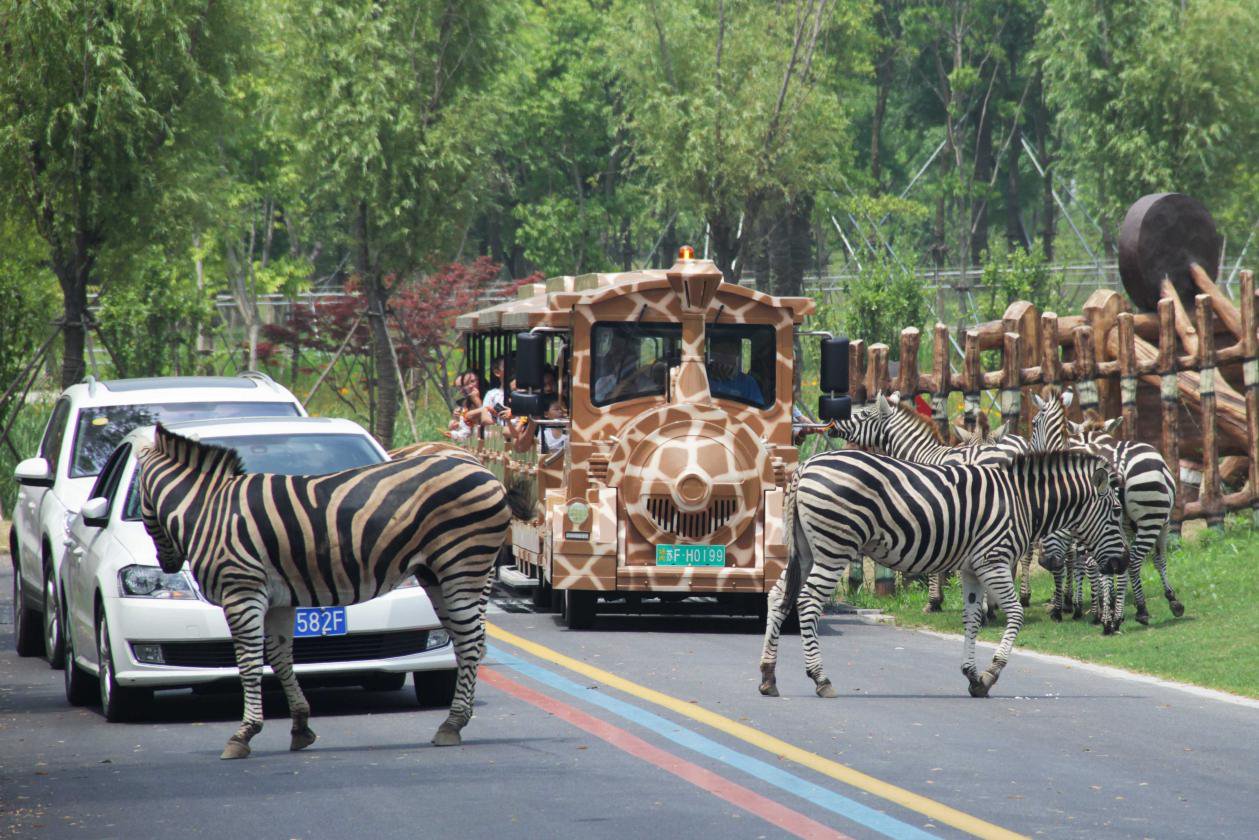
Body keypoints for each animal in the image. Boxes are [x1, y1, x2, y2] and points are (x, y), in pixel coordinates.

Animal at [137, 423, 531, 760]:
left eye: (139, 500)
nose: (167, 565)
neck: (208, 510)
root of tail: (485, 471)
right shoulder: (277, 599)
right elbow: (280, 657)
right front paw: (300, 726)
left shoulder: (241, 591)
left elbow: (248, 664)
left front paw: (243, 734)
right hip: (438, 573)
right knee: (467, 641)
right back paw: (454, 721)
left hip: (462, 563)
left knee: (471, 641)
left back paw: (452, 724)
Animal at [750, 450, 1128, 700]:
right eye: (1116, 512)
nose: (1122, 563)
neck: (1022, 502)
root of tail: (806, 466)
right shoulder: (994, 560)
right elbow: (1016, 615)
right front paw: (992, 672)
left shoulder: (973, 568)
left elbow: (972, 619)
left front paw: (973, 677)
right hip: (834, 547)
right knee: (807, 603)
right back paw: (820, 678)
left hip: (807, 550)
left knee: (779, 597)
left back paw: (768, 677)